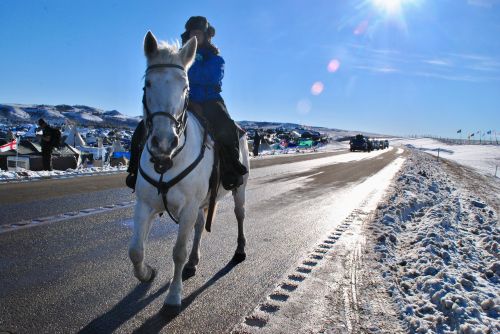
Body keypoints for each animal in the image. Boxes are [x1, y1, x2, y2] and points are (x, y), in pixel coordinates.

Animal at [127, 31, 248, 310]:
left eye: (185, 87)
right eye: (147, 83)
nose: (163, 142)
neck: (168, 161)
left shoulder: (189, 207)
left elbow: (178, 252)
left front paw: (173, 296)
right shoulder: (145, 204)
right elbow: (136, 250)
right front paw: (147, 273)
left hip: (240, 188)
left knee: (239, 215)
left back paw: (239, 250)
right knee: (201, 226)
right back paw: (194, 262)